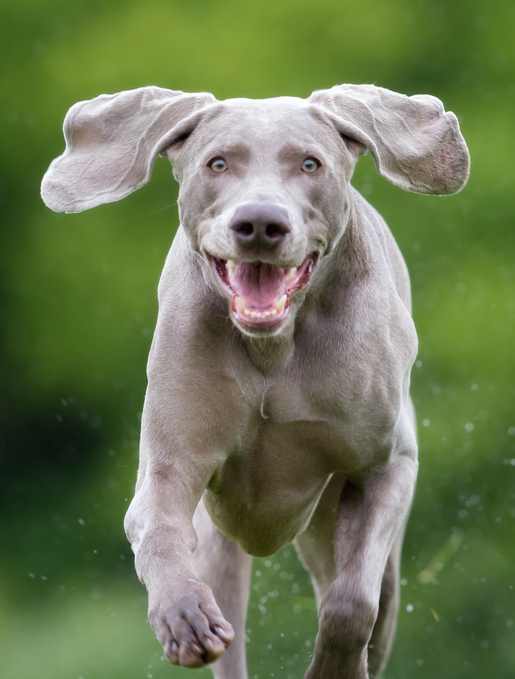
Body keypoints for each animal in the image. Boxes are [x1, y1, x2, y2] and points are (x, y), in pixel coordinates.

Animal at [42, 85, 470, 679]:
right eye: (217, 163)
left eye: (310, 164)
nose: (261, 224)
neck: (274, 350)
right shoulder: (172, 464)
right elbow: (158, 530)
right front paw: (182, 616)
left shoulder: (386, 467)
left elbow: (350, 602)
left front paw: (334, 668)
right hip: (220, 542)